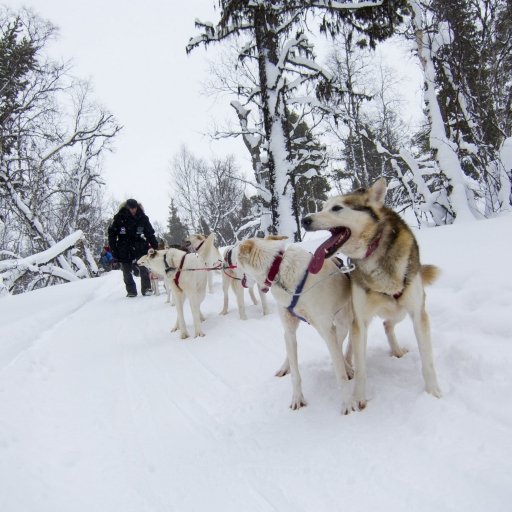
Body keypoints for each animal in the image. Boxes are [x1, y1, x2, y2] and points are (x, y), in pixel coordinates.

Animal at [234, 238, 354, 414]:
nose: (224, 263)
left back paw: (347, 367)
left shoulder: (327, 329)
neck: (278, 270)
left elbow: (340, 372)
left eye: (234, 258)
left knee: (340, 346)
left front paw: (347, 403)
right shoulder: (290, 329)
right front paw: (297, 398)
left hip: (341, 322)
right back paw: (285, 366)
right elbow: (295, 375)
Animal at [302, 178, 442, 410]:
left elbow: (428, 360)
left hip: (402, 311)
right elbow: (361, 368)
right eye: (323, 207)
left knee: (388, 324)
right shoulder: (361, 322)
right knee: (374, 331)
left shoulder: (418, 314)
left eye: (337, 208)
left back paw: (396, 350)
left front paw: (433, 392)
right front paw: (358, 396)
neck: (373, 249)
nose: (305, 220)